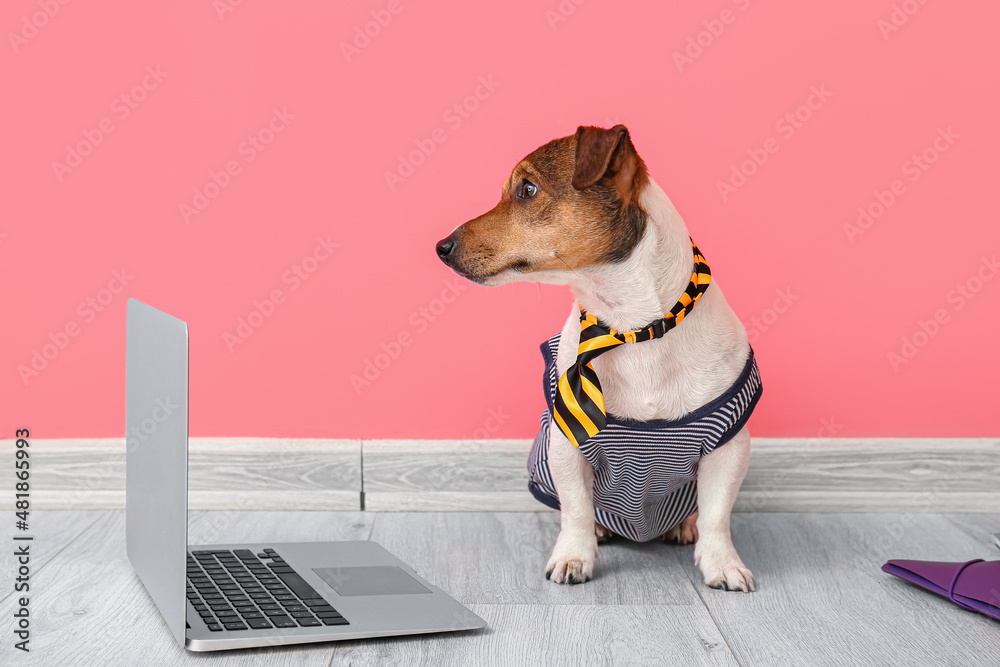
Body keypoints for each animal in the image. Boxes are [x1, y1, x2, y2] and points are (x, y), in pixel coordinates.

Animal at [436, 124, 756, 588]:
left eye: (527, 190)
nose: (441, 246)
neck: (632, 328)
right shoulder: (566, 443)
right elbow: (576, 508)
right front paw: (574, 555)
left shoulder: (727, 442)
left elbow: (717, 513)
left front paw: (722, 562)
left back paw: (682, 525)